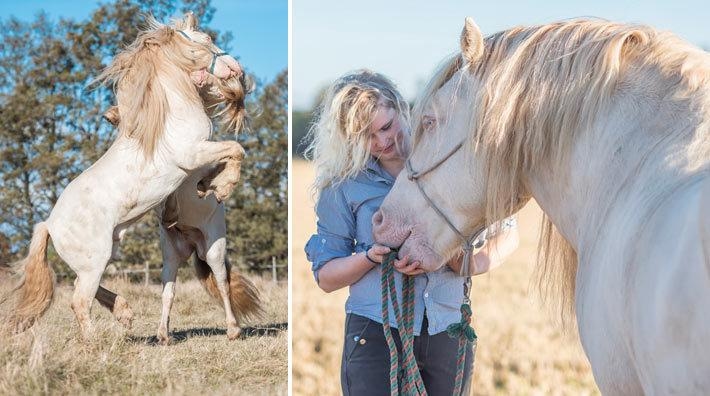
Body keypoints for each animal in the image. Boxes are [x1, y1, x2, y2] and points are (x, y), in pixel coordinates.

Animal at [3, 13, 248, 340]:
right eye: (207, 40)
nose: (236, 69)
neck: (170, 116)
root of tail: (50, 225)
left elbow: (230, 154)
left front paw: (212, 185)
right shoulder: (192, 155)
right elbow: (235, 149)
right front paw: (222, 188)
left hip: (109, 253)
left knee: (87, 289)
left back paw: (126, 313)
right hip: (98, 259)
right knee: (80, 300)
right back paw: (96, 341)